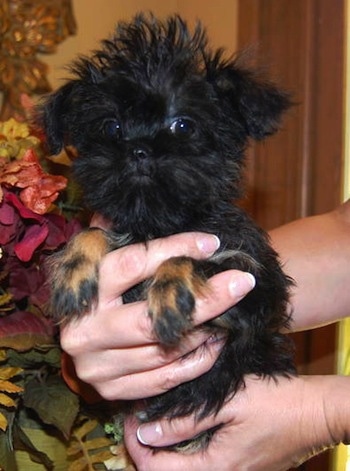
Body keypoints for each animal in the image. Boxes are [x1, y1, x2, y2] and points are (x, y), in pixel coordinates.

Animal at [38, 13, 296, 450]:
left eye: (183, 125)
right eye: (112, 127)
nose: (139, 149)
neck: (159, 223)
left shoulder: (254, 289)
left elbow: (187, 253)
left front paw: (171, 291)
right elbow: (93, 233)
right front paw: (72, 272)